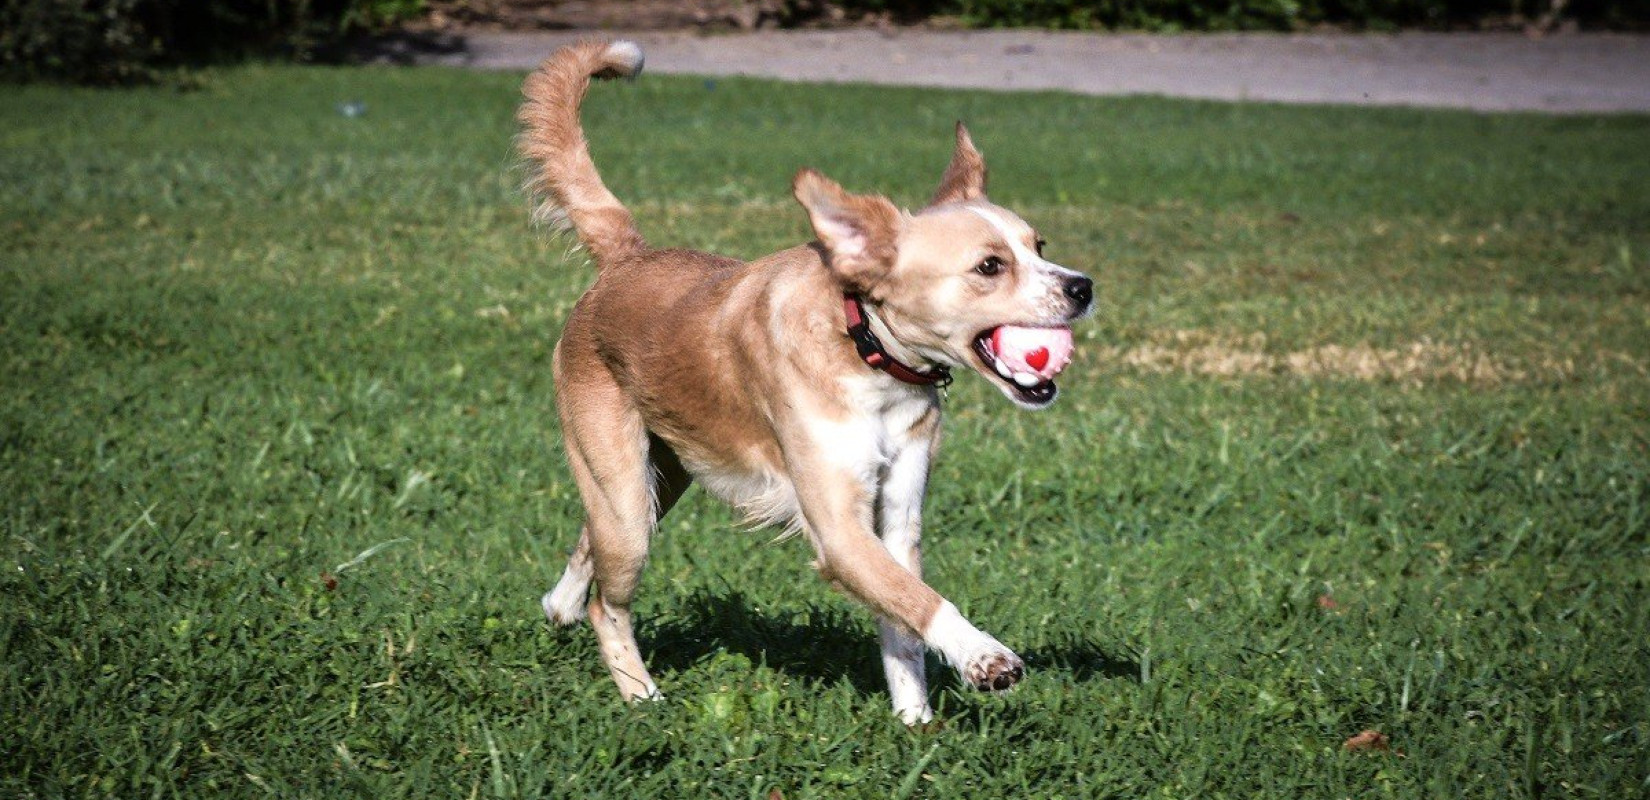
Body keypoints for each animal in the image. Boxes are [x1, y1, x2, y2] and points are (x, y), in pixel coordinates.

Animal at [521, 40, 1095, 722]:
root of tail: (626, 258)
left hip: (660, 476)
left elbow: (902, 623)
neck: (867, 352)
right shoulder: (839, 528)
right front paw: (985, 657)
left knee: (590, 548)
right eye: (990, 266)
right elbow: (920, 601)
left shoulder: (897, 514)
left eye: (1040, 246)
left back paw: (559, 604)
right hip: (627, 493)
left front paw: (915, 722)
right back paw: (642, 696)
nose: (1083, 287)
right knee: (609, 604)